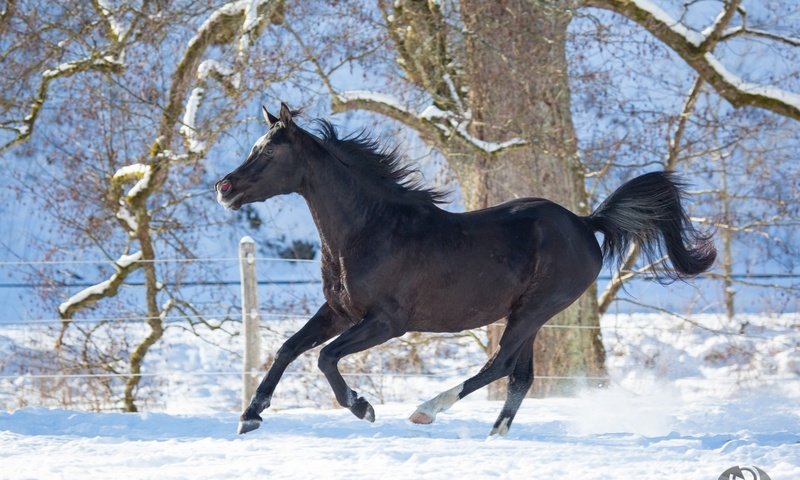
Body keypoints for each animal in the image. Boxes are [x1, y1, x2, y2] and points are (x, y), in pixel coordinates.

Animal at [216, 103, 716, 436]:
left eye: (268, 153)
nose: (224, 188)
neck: (370, 229)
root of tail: (584, 223)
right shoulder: (339, 312)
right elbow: (288, 348)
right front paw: (250, 416)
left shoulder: (387, 322)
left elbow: (324, 357)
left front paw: (362, 407)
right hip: (529, 315)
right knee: (519, 377)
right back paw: (495, 434)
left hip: (535, 310)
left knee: (499, 366)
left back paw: (427, 410)